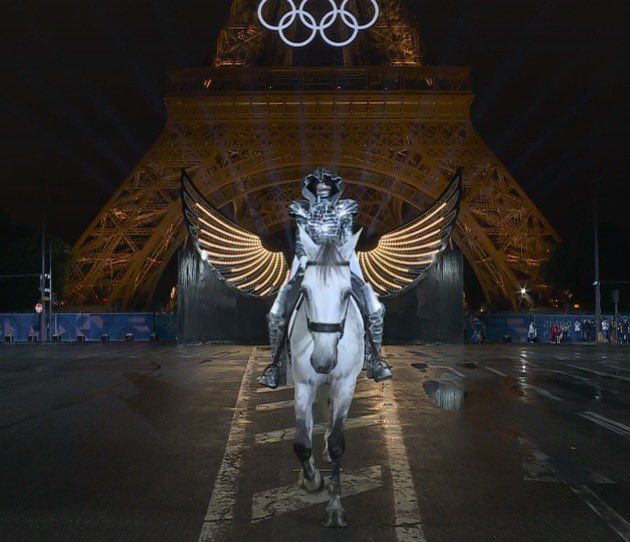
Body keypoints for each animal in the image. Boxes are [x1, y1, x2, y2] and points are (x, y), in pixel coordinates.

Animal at [290, 227, 366, 528]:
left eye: (347, 293)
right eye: (304, 291)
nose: (323, 361)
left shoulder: (345, 384)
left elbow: (336, 443)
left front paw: (335, 509)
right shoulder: (304, 384)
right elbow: (301, 442)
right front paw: (312, 480)